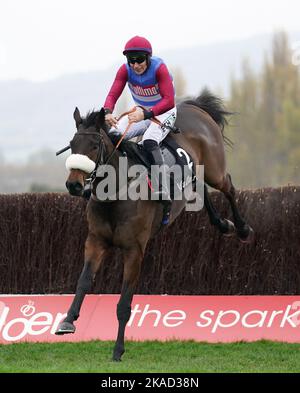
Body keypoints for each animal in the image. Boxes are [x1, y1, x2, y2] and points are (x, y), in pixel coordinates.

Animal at [54, 90, 253, 360]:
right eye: (73, 145)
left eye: (94, 146)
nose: (74, 185)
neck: (115, 195)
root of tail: (192, 106)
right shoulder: (96, 241)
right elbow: (83, 281)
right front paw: (68, 320)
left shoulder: (134, 250)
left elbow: (124, 303)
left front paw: (118, 349)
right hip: (195, 173)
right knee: (200, 187)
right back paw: (223, 224)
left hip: (215, 170)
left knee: (229, 187)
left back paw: (241, 228)